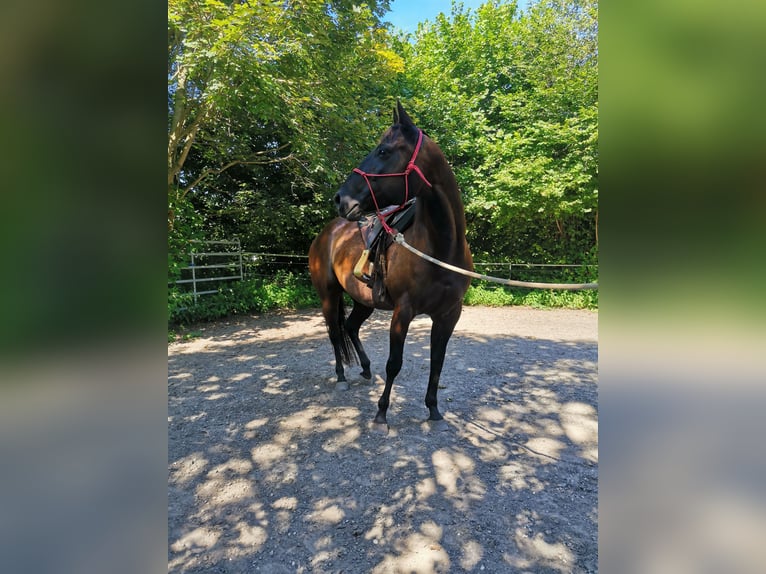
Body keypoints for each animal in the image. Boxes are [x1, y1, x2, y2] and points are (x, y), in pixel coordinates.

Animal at [308, 101, 473, 427]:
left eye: (384, 151)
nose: (340, 199)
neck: (443, 248)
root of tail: (326, 234)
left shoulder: (449, 314)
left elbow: (437, 362)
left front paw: (433, 409)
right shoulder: (403, 311)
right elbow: (394, 363)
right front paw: (382, 412)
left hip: (364, 300)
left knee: (350, 326)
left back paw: (365, 368)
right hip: (329, 295)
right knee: (334, 332)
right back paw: (342, 377)